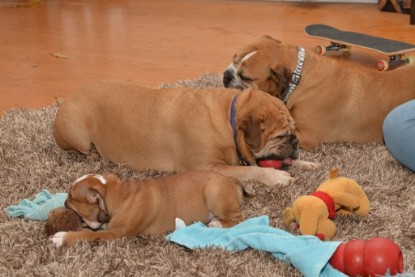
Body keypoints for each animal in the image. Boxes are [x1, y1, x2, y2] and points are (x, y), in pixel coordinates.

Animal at [52, 81, 318, 187]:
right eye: (280, 137)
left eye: (294, 131)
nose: (295, 142)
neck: (228, 118)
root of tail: (66, 99)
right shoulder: (210, 168)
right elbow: (252, 170)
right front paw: (276, 177)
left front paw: (306, 163)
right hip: (77, 133)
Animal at [52, 170, 247, 246]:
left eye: (71, 196)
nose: (65, 202)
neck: (115, 194)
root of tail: (230, 179)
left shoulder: (114, 234)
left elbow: (87, 235)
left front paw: (63, 237)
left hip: (213, 192)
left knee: (239, 218)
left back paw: (217, 224)